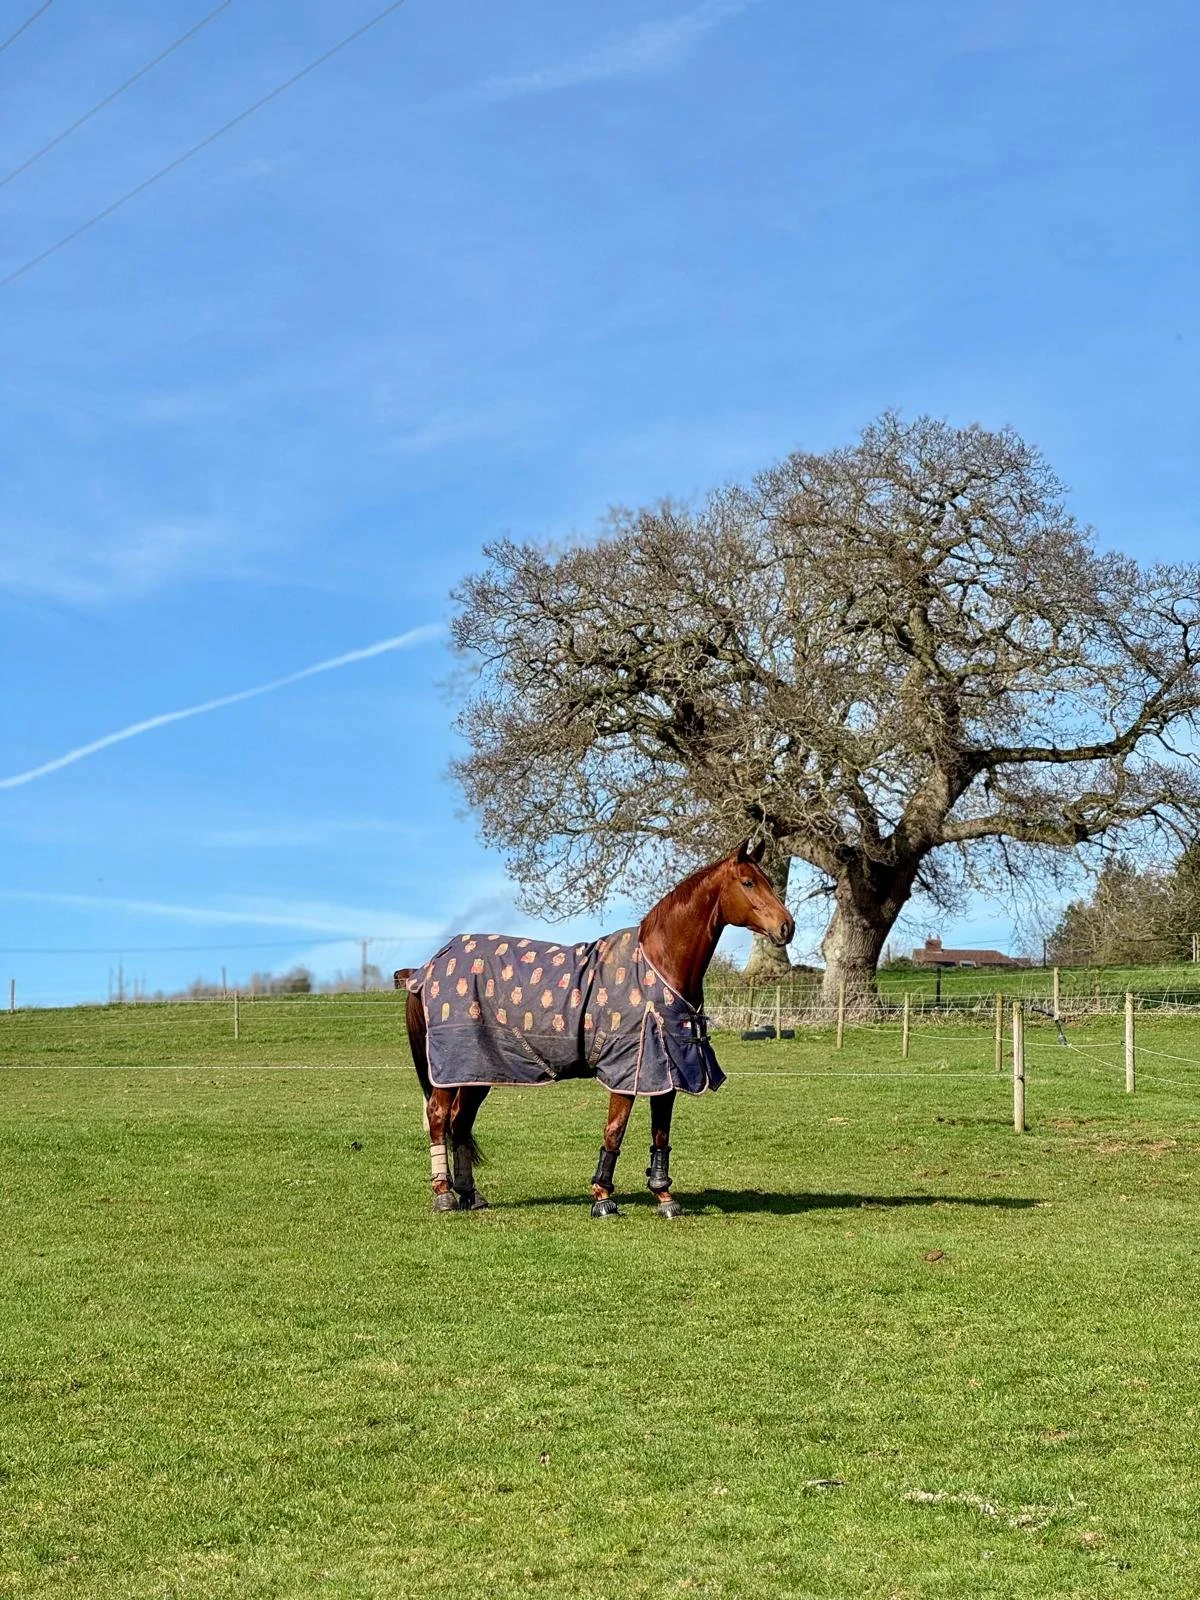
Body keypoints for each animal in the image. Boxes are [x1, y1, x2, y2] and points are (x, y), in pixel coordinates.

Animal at [404, 840, 794, 1218]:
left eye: (769, 881)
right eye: (748, 882)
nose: (786, 927)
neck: (659, 966)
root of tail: (428, 967)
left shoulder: (666, 1071)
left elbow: (661, 1134)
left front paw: (664, 1196)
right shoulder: (627, 1069)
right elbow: (614, 1131)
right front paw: (603, 1198)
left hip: (478, 1071)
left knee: (461, 1123)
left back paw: (471, 1195)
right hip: (453, 1069)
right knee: (439, 1117)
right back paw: (444, 1196)